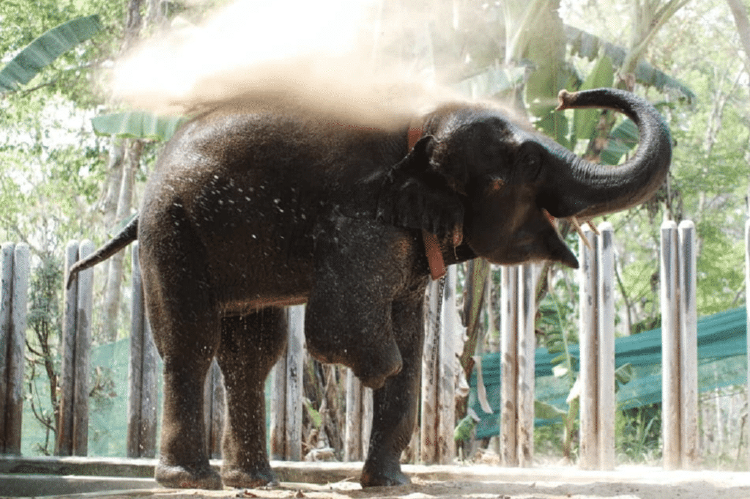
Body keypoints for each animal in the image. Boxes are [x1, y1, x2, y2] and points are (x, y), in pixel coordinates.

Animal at [67, 87, 671, 490]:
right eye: (528, 160)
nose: (569, 97)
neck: (420, 122)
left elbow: (410, 340)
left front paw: (391, 485)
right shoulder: (361, 220)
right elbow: (337, 332)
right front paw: (379, 372)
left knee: (252, 356)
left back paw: (256, 481)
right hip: (172, 228)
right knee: (191, 343)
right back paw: (191, 480)